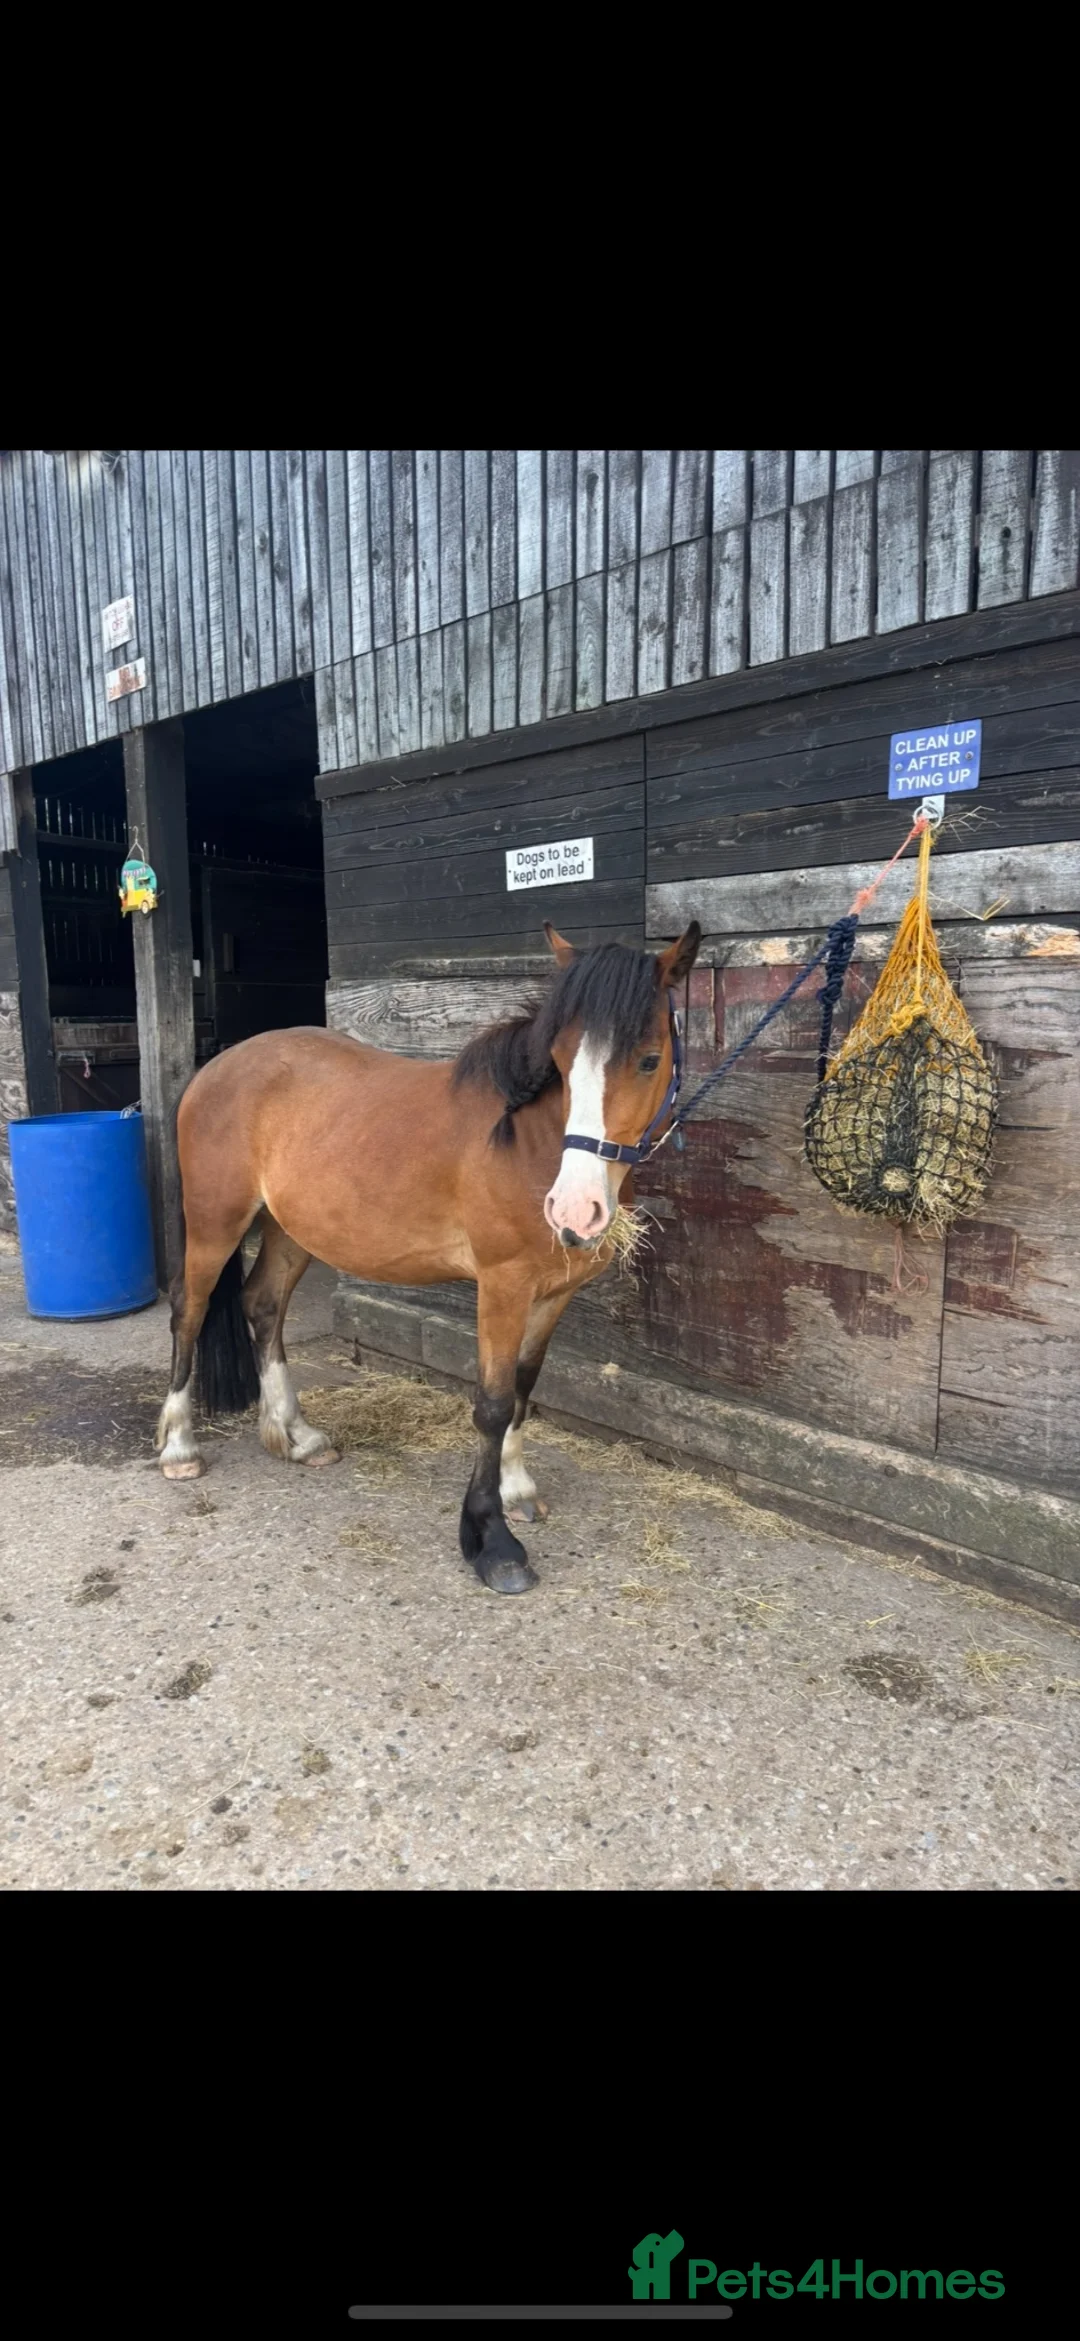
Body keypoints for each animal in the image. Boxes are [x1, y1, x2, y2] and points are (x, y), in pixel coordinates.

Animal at [155, 916, 702, 1594]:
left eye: (649, 1060)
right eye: (559, 1063)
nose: (575, 1212)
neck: (526, 1139)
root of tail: (215, 1068)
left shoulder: (553, 1292)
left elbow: (523, 1386)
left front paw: (517, 1487)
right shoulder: (502, 1285)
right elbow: (492, 1404)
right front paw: (492, 1540)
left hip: (290, 1230)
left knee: (262, 1306)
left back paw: (298, 1436)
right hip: (216, 1222)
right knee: (190, 1309)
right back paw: (180, 1447)